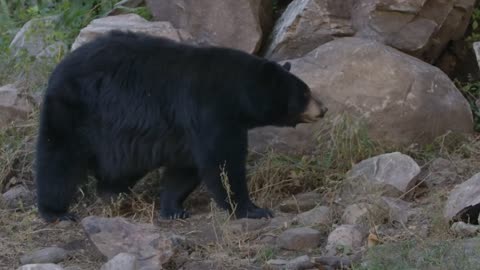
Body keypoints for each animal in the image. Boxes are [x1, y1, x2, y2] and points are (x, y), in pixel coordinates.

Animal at [33, 30, 326, 223]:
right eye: (304, 93)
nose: (323, 109)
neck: (237, 92)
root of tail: (57, 70)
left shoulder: (186, 131)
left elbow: (186, 167)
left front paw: (173, 208)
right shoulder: (210, 110)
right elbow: (222, 162)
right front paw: (252, 209)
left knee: (122, 168)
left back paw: (114, 194)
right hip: (75, 111)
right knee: (59, 160)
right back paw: (56, 211)